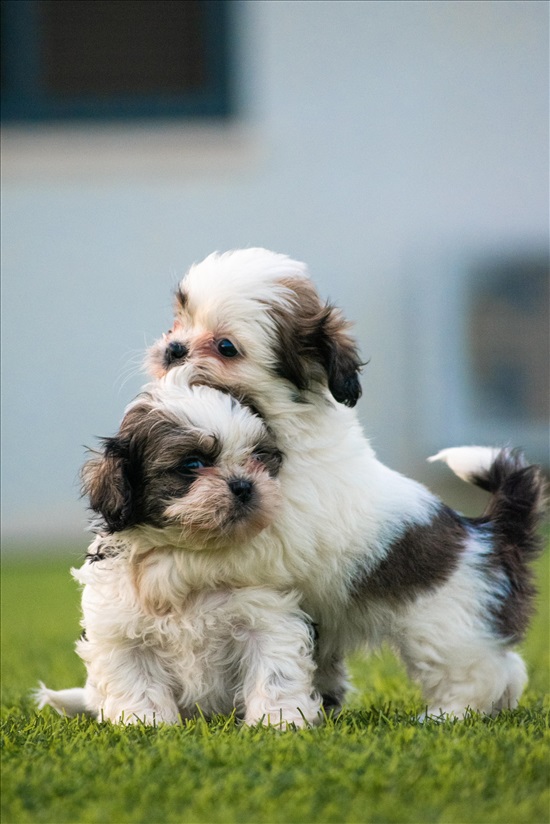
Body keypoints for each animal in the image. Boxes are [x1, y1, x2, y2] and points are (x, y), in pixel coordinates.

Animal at [36, 376, 322, 724]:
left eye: (258, 457)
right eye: (192, 464)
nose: (244, 485)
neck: (186, 554)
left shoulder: (268, 614)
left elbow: (275, 672)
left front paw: (278, 721)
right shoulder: (120, 631)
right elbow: (138, 684)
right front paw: (145, 723)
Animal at [146, 246, 548, 716]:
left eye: (226, 347)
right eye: (178, 321)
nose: (173, 349)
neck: (283, 422)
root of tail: (487, 532)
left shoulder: (282, 532)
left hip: (448, 629)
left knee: (477, 673)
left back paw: (446, 716)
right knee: (508, 668)